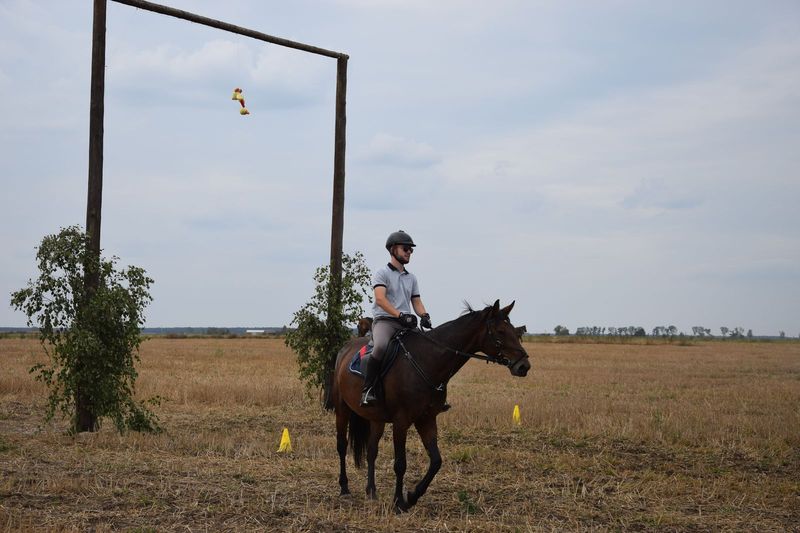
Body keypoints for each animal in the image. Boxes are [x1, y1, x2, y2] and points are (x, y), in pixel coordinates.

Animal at [328, 300, 528, 512]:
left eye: (515, 332)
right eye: (500, 331)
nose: (524, 365)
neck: (426, 361)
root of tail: (345, 349)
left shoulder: (427, 419)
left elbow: (436, 461)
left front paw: (412, 497)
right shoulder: (401, 422)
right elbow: (400, 464)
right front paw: (399, 502)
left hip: (376, 419)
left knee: (372, 450)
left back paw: (371, 492)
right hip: (342, 410)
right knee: (342, 446)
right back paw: (344, 488)